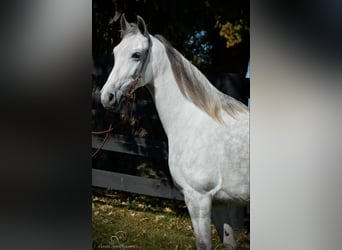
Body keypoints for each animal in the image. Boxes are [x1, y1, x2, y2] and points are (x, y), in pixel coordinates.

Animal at [99, 14, 248, 249]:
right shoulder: (219, 202)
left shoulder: (198, 198)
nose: (107, 97)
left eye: (136, 55)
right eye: (115, 53)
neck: (195, 122)